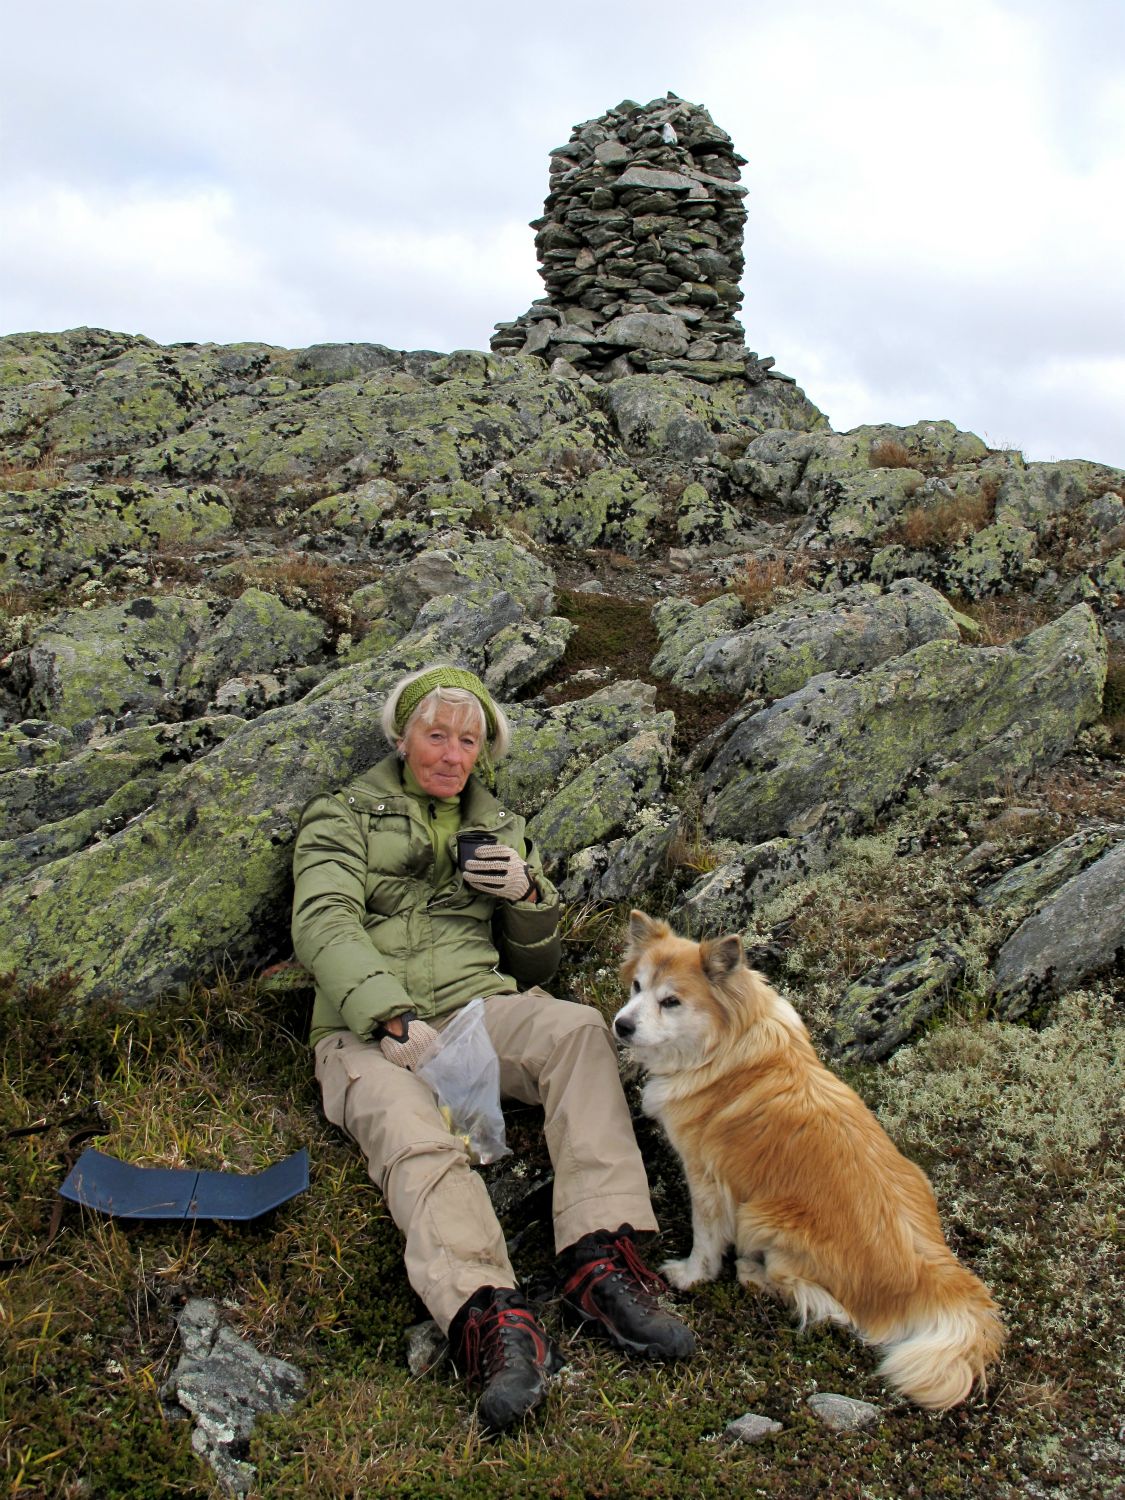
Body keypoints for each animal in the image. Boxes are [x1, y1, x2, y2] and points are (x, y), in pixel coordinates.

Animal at [621, 906, 1008, 1410]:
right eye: (636, 987)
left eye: (671, 1001)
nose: (621, 1025)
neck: (721, 1048)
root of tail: (929, 1275)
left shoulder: (706, 1176)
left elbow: (706, 1238)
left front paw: (690, 1276)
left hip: (764, 1217)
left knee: (837, 1311)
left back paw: (754, 1272)